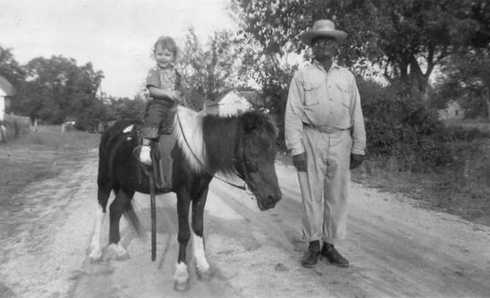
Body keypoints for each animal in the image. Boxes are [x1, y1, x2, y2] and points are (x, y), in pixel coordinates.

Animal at [86, 106, 282, 290]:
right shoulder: (183, 194)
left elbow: (198, 228)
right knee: (100, 211)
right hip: (105, 181)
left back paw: (118, 249)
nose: (273, 198)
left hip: (128, 187)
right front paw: (181, 274)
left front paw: (203, 266)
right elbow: (184, 233)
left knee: (115, 210)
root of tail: (111, 131)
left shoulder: (201, 193)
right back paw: (95, 252)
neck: (194, 151)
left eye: (273, 153)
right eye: (253, 152)